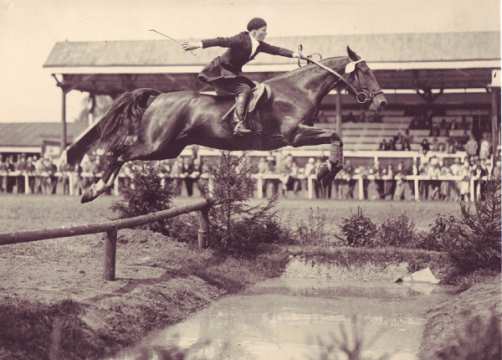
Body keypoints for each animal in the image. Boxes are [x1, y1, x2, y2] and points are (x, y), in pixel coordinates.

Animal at [64, 46, 386, 202]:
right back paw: (93, 190)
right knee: (119, 152)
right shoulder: (294, 136)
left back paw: (95, 190)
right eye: (366, 72)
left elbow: (336, 137)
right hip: (155, 144)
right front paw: (325, 172)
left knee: (121, 154)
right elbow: (335, 134)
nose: (382, 103)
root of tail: (158, 96)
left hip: (168, 149)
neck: (297, 90)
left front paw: (327, 172)